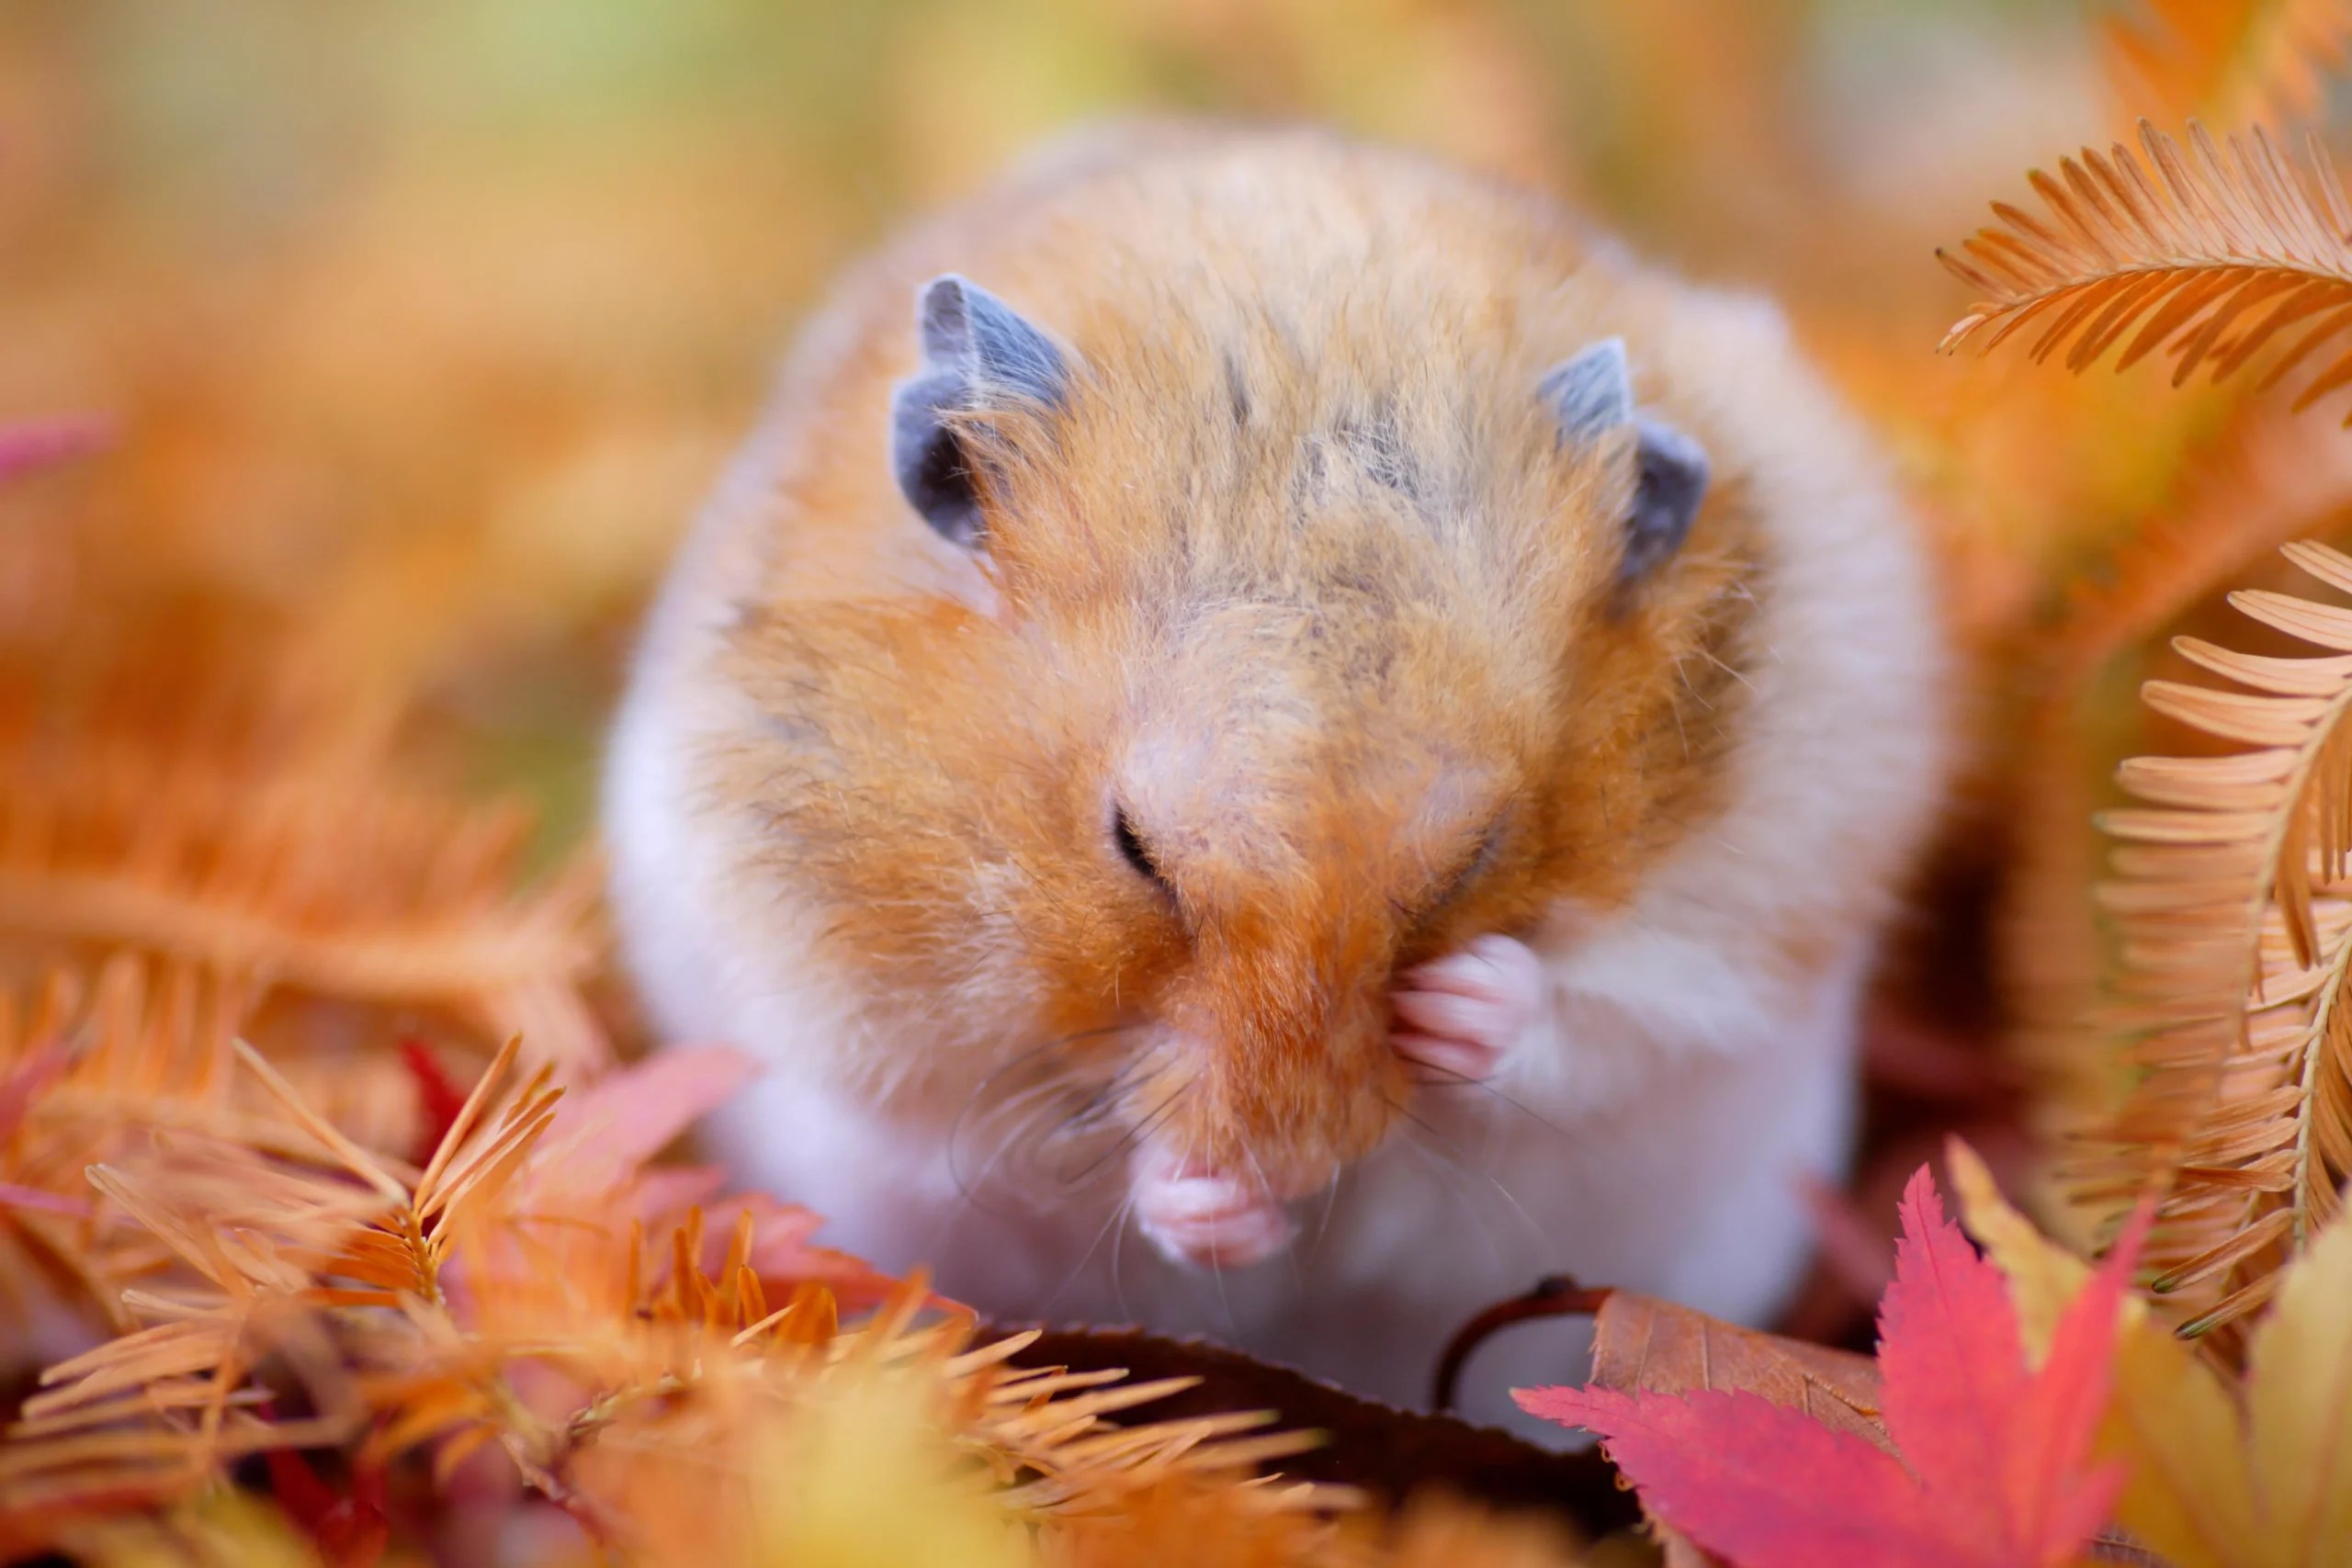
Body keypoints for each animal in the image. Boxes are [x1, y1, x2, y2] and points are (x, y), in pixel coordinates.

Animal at [604, 123, 1948, 1432]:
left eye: (1474, 858)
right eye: (1133, 845)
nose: (1293, 1164)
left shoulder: (1740, 925)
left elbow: (1605, 1027)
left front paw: (1464, 1006)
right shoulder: (867, 1031)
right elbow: (1036, 1146)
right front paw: (1211, 1205)